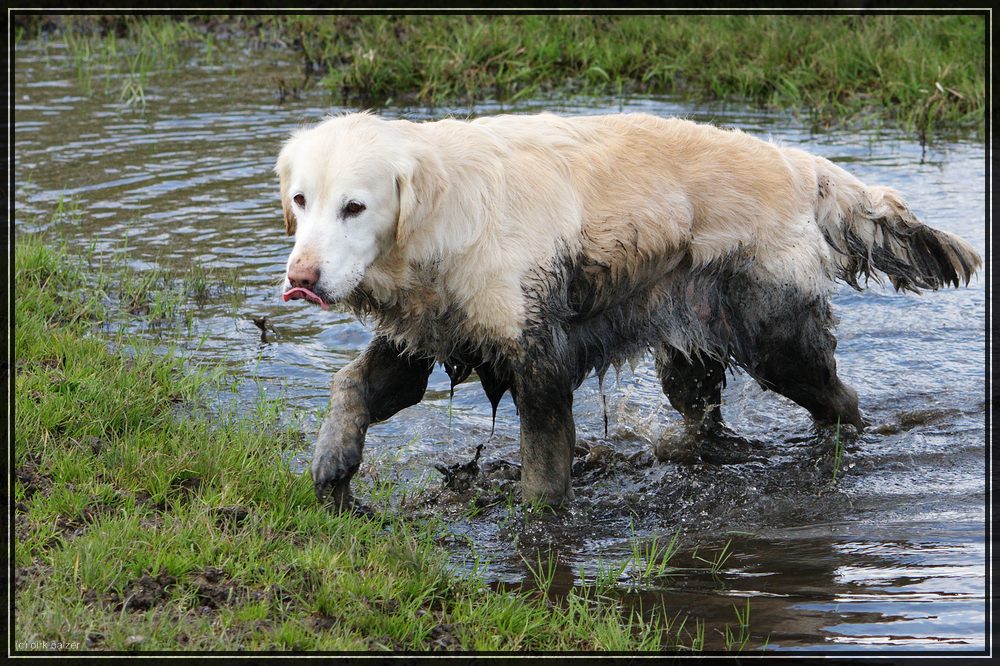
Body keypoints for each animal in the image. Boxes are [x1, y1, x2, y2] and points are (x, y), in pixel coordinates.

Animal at [278, 111, 980, 508]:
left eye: (355, 207)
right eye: (301, 200)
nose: (301, 279)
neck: (447, 215)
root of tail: (802, 165)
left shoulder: (539, 357)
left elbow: (543, 469)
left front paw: (539, 521)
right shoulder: (427, 332)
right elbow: (353, 384)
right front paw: (333, 464)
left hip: (778, 336)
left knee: (840, 401)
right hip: (690, 348)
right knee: (703, 413)